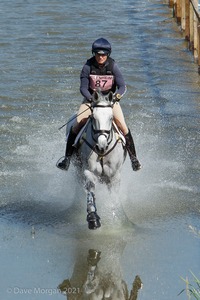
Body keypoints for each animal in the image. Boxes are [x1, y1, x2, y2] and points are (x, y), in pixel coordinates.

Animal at [67, 91, 126, 230]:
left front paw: (116, 220)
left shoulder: (114, 176)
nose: (101, 145)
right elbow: (90, 193)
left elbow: (114, 198)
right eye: (93, 117)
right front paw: (93, 219)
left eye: (111, 118)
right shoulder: (89, 172)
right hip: (77, 169)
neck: (102, 153)